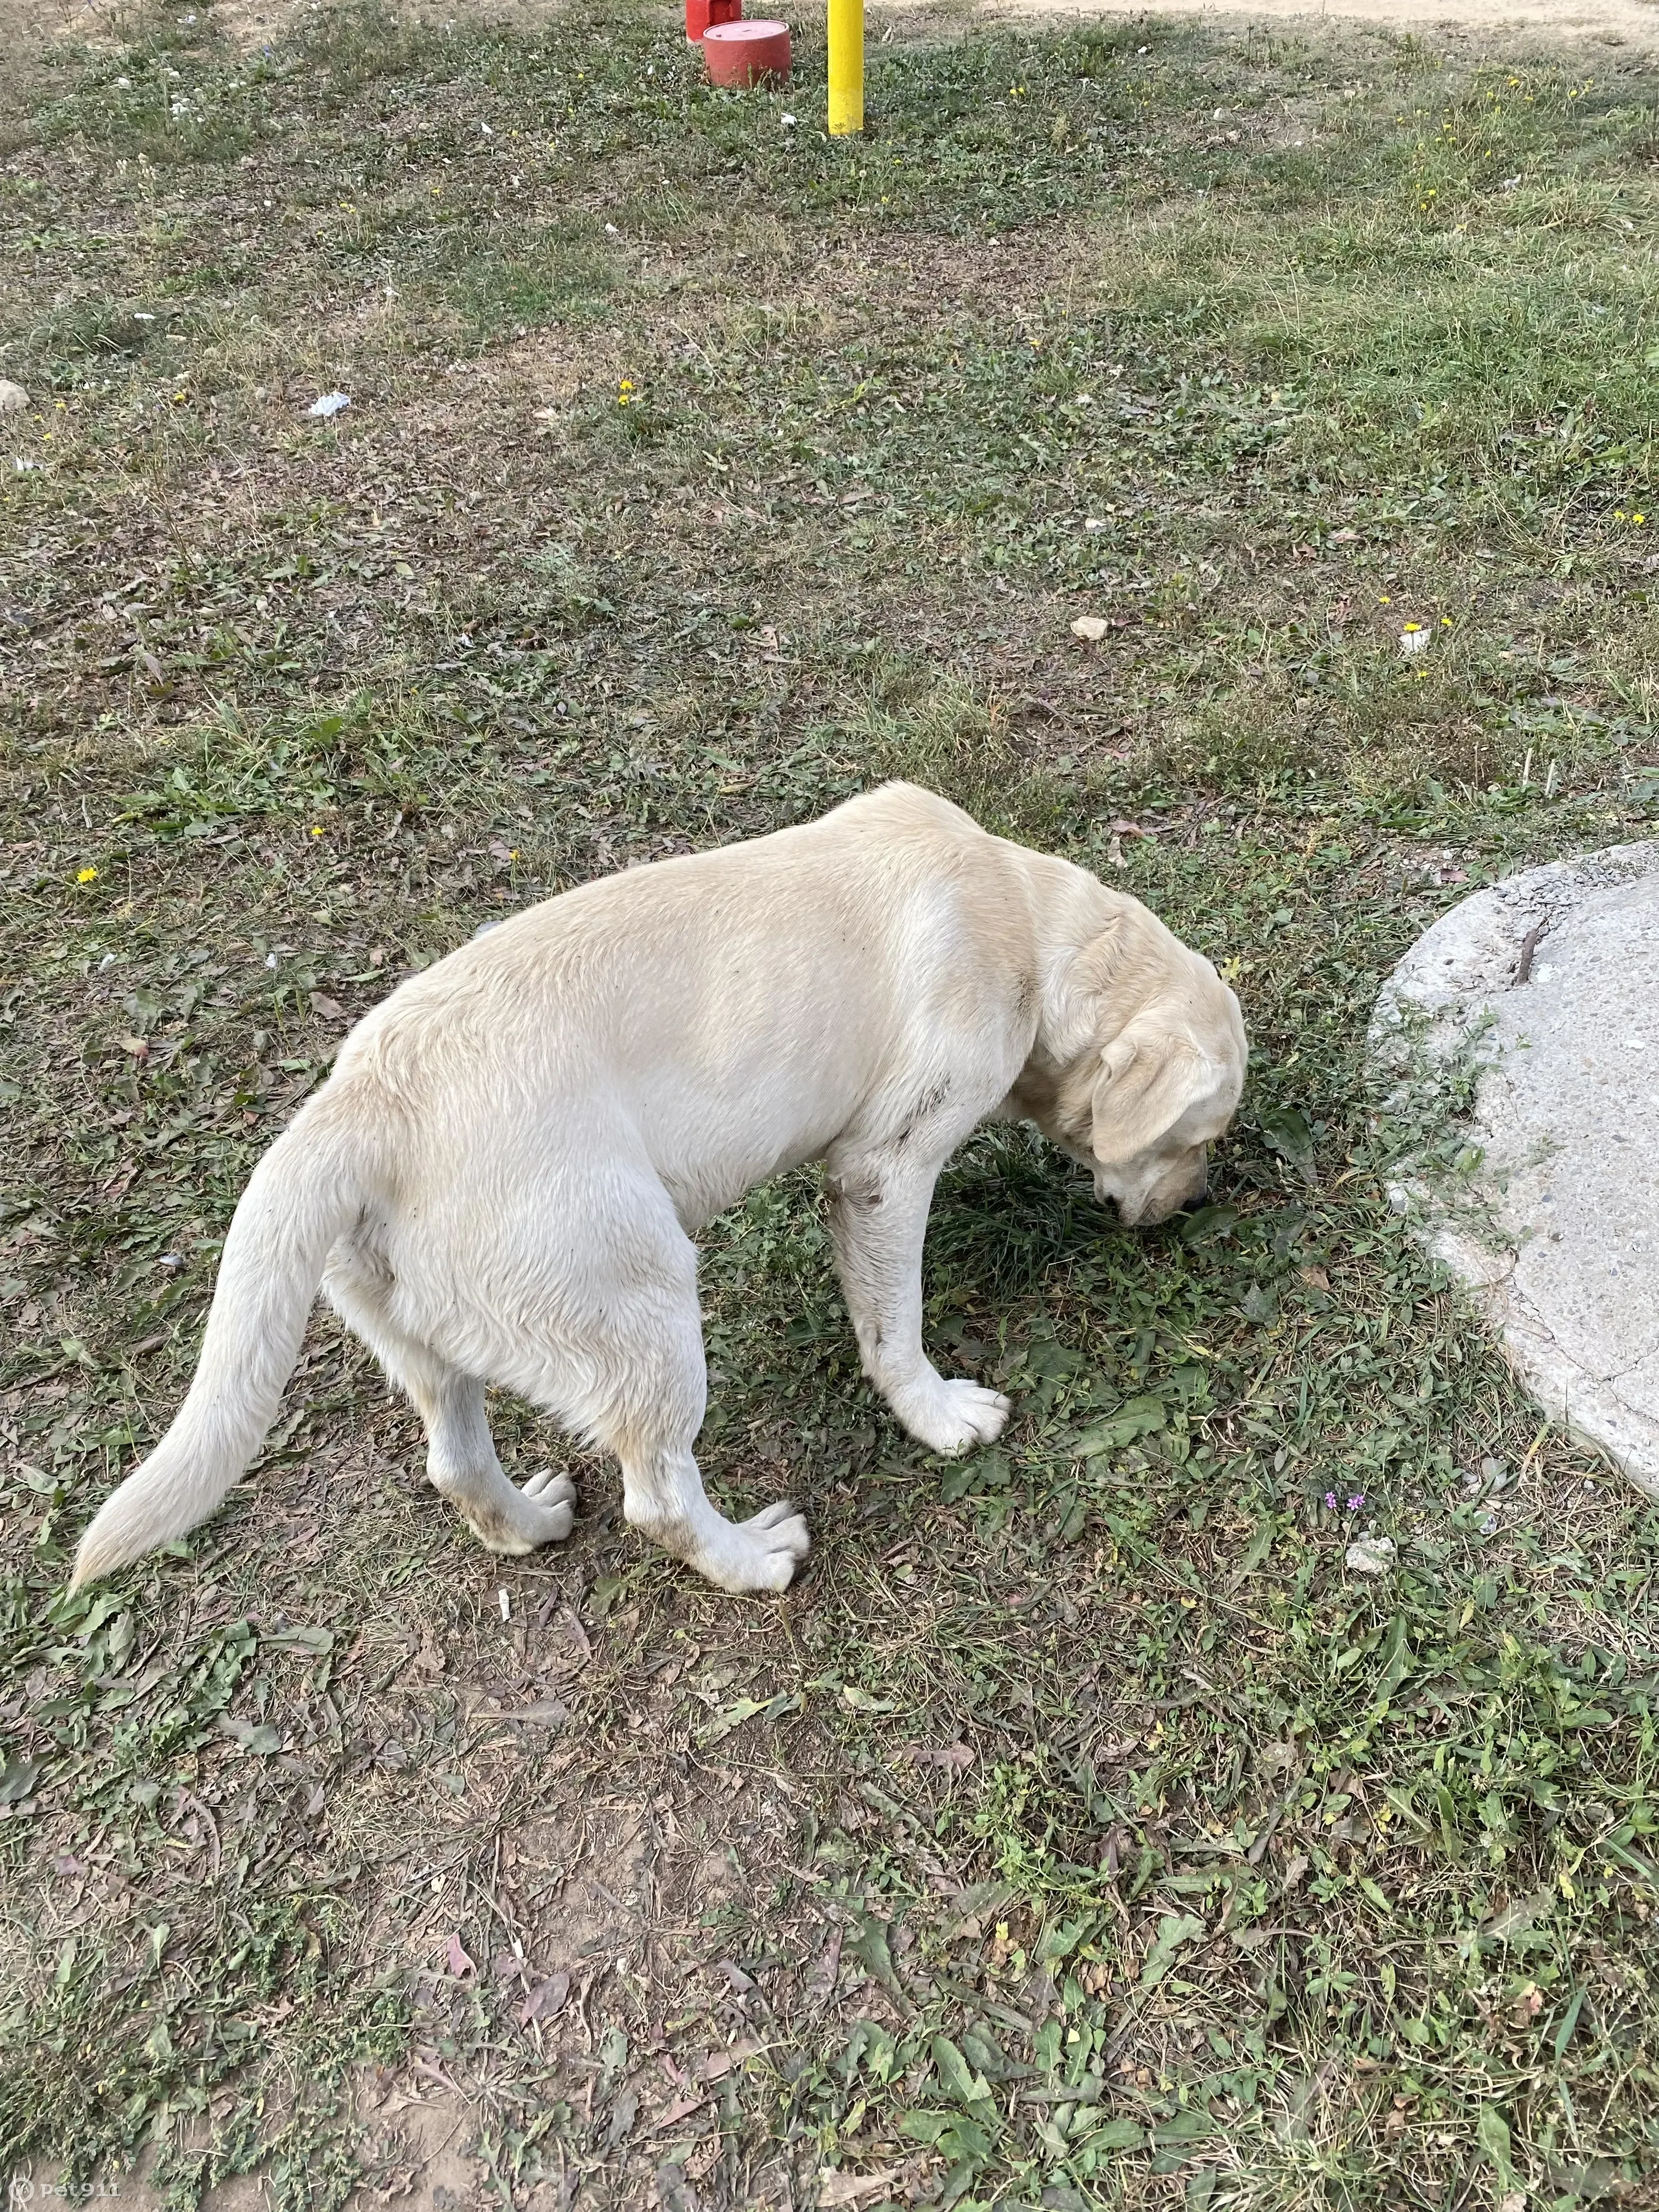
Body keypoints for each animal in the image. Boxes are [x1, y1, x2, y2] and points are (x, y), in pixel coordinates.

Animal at [75, 787, 1248, 1601]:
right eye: (1197, 1137)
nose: (1192, 1207)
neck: (1026, 922)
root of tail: (363, 1102)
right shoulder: (881, 1173)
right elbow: (893, 1329)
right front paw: (938, 1415)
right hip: (642, 1312)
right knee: (659, 1499)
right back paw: (753, 1559)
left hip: (428, 1339)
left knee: (455, 1463)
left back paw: (529, 1524)